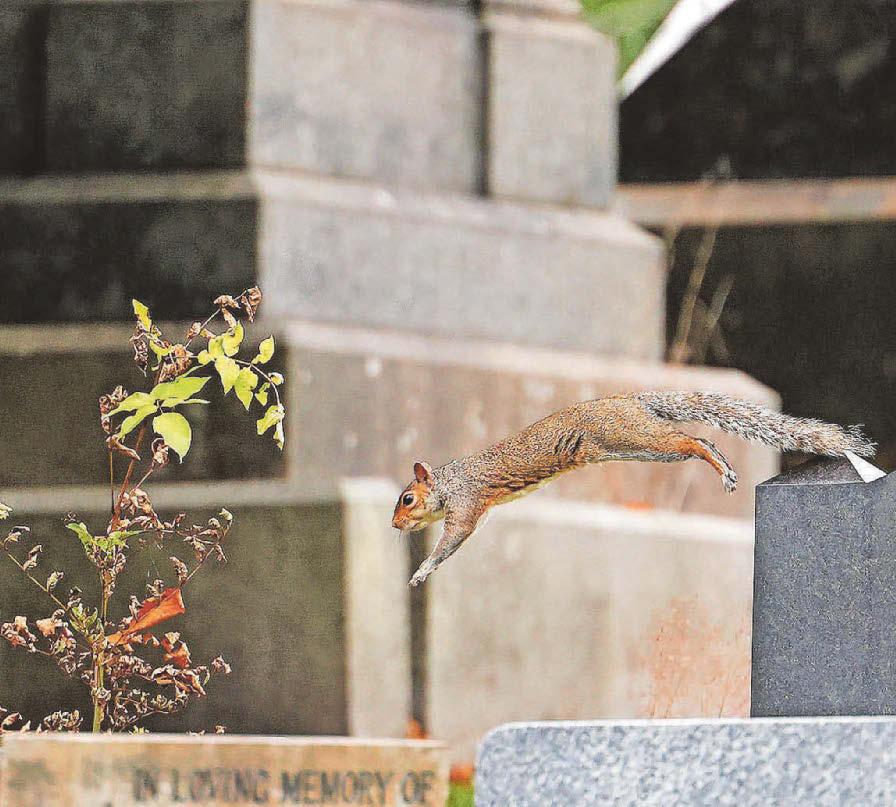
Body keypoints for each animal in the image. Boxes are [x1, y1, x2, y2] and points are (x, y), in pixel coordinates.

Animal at [392, 391, 875, 587]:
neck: (448, 481)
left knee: (689, 441)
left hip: (634, 436)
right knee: (694, 440)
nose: (395, 525)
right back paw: (720, 458)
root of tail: (631, 400)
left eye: (407, 499)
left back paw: (720, 466)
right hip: (643, 447)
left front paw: (422, 571)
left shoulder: (467, 503)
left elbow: (453, 540)